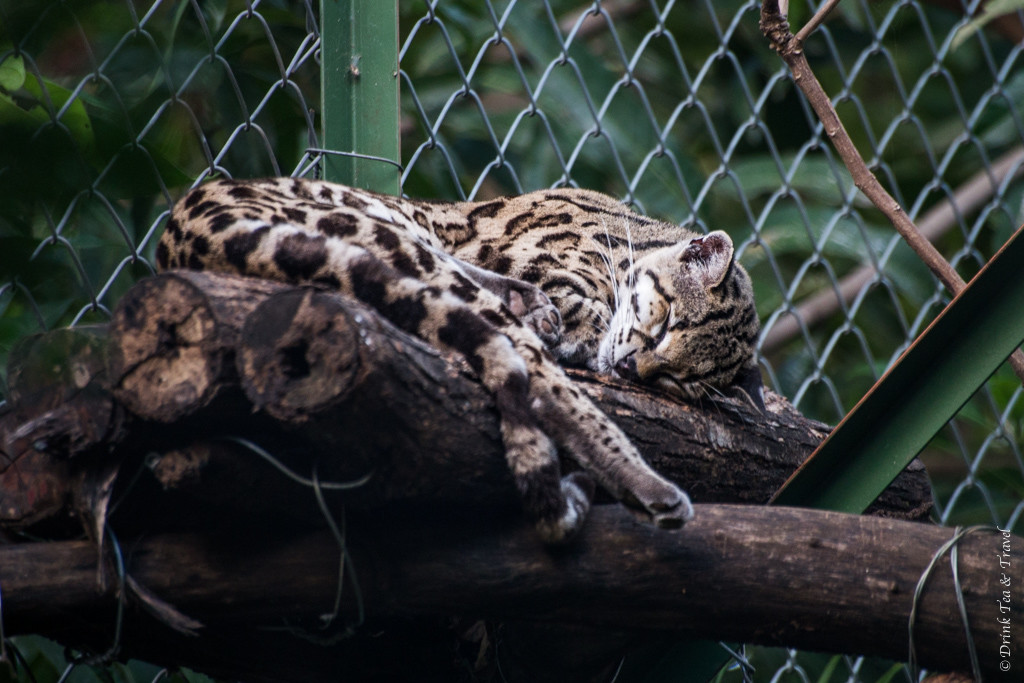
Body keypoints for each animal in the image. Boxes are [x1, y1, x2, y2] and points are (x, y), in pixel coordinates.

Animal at [157, 179, 761, 540]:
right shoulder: (533, 254)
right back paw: (648, 486)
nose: (635, 370)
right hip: (388, 235)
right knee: (538, 374)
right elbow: (579, 312)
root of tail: (182, 232)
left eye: (678, 382)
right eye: (666, 324)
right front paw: (580, 328)